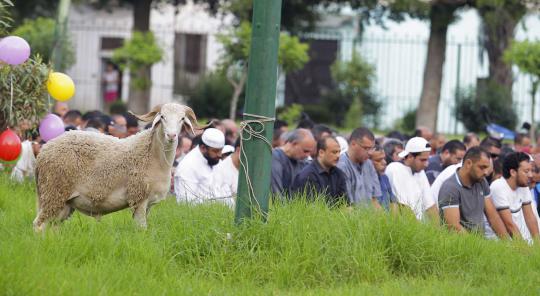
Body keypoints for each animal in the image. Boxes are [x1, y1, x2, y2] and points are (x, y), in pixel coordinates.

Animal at [32, 104, 205, 231]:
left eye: (182, 119)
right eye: (162, 117)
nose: (171, 135)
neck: (153, 155)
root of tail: (44, 151)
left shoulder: (148, 203)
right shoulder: (138, 197)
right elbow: (141, 229)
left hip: (64, 202)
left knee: (52, 226)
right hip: (53, 190)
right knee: (38, 225)